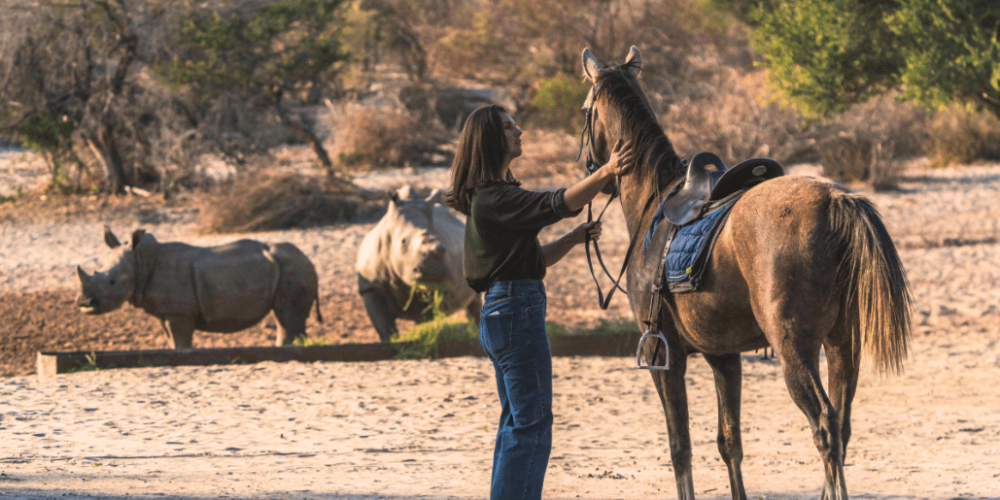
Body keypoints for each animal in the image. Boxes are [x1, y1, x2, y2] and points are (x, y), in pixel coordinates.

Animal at [76, 227, 322, 349]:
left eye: (112, 281)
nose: (84, 303)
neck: (140, 261)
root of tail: (309, 259)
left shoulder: (179, 313)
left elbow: (181, 343)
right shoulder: (166, 311)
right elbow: (172, 342)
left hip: (293, 269)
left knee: (286, 317)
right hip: (290, 267)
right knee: (288, 321)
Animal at [357, 186, 481, 342]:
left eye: (443, 246)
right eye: (403, 242)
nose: (434, 275)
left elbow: (425, 315)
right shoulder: (371, 286)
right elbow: (383, 323)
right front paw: (393, 342)